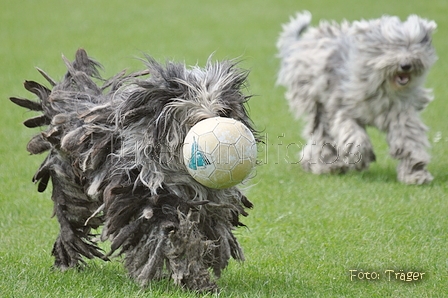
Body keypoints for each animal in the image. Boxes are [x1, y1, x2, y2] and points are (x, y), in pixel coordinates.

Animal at [11, 48, 260, 292]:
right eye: (193, 104)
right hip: (71, 190)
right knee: (69, 224)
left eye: (224, 106)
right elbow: (172, 236)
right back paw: (67, 261)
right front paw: (195, 279)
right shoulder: (146, 199)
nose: (219, 116)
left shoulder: (210, 207)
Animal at [276, 11, 438, 184]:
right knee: (322, 135)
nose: (406, 65)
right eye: (388, 47)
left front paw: (415, 173)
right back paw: (329, 165)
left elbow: (408, 140)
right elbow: (354, 136)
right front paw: (362, 158)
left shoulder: (400, 113)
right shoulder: (342, 108)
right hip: (317, 103)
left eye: (413, 45)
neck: (381, 85)